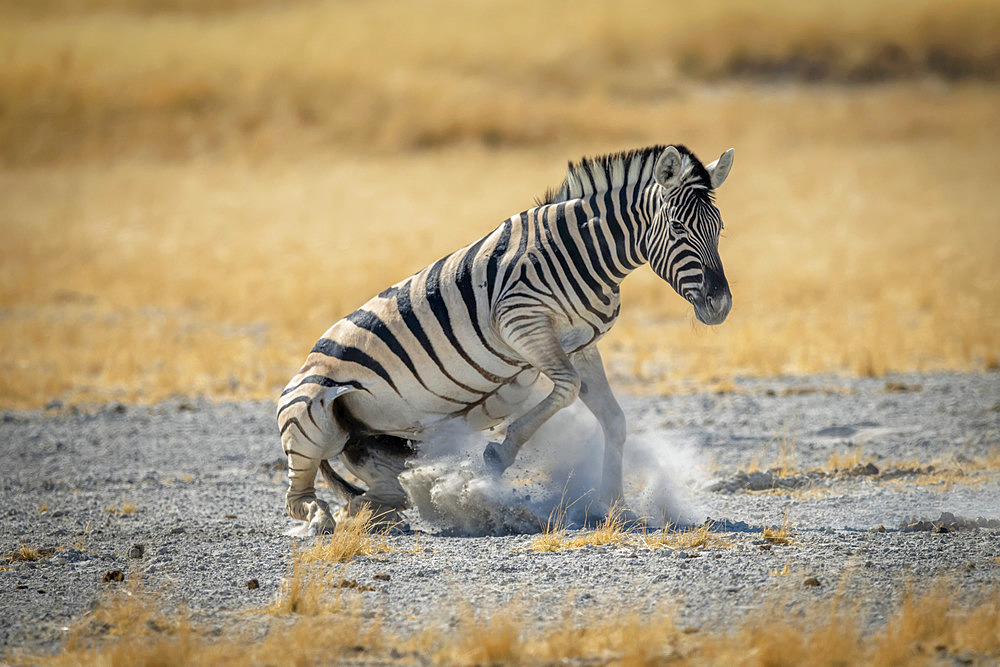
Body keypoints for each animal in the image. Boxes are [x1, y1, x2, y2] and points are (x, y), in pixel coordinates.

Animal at [278, 144, 732, 536]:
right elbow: (565, 389)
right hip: (310, 418)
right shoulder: (522, 323)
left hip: (377, 447)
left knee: (382, 496)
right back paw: (323, 520)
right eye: (677, 228)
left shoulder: (582, 344)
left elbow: (614, 420)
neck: (583, 254)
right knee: (297, 497)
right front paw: (499, 454)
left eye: (719, 228)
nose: (721, 305)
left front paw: (616, 507)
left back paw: (372, 511)